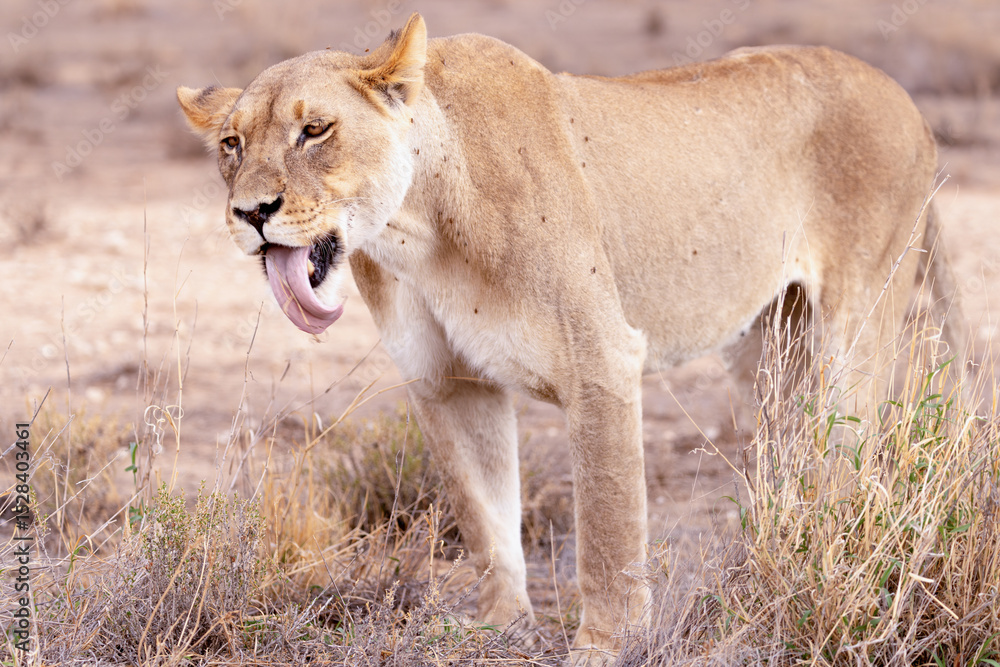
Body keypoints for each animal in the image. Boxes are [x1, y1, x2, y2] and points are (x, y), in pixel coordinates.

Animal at [178, 13, 961, 662]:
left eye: (315, 130)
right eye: (231, 144)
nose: (251, 212)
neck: (419, 230)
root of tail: (907, 101)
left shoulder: (602, 361)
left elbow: (607, 528)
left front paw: (607, 645)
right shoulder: (449, 383)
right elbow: (485, 518)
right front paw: (501, 628)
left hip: (854, 325)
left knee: (851, 455)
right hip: (767, 346)